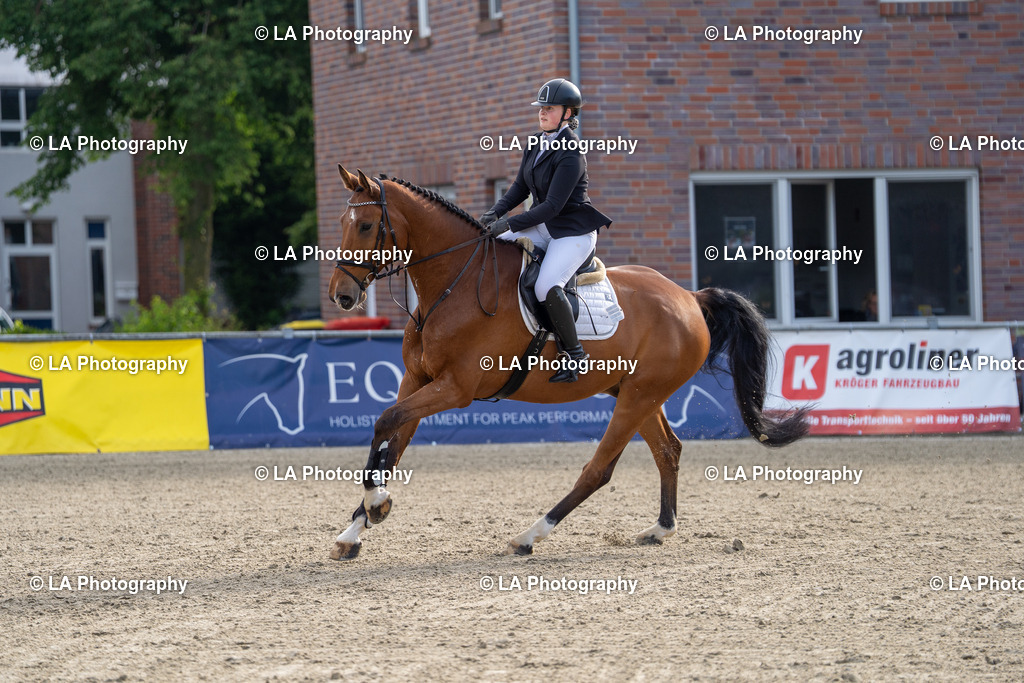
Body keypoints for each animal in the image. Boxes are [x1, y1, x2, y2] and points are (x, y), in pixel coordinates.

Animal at [326, 166, 808, 560]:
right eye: (343, 225)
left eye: (366, 225)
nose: (342, 296)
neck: (452, 284)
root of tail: (690, 297)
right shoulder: (417, 380)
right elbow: (391, 440)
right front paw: (356, 528)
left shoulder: (456, 388)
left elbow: (386, 423)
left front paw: (377, 504)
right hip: (638, 393)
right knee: (668, 451)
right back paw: (659, 530)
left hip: (638, 396)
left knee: (599, 470)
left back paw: (530, 535)